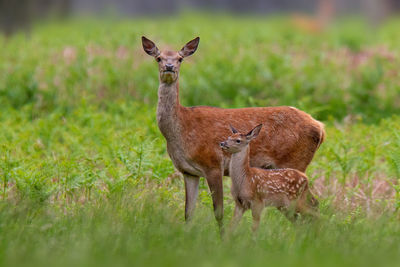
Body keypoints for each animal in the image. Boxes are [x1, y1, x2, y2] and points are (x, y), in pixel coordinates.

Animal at [142, 36, 324, 232]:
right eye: (158, 58)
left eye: (180, 58)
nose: (169, 67)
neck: (181, 130)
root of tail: (320, 128)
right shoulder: (188, 172)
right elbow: (188, 212)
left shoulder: (213, 164)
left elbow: (218, 211)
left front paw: (221, 237)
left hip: (295, 162)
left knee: (313, 205)